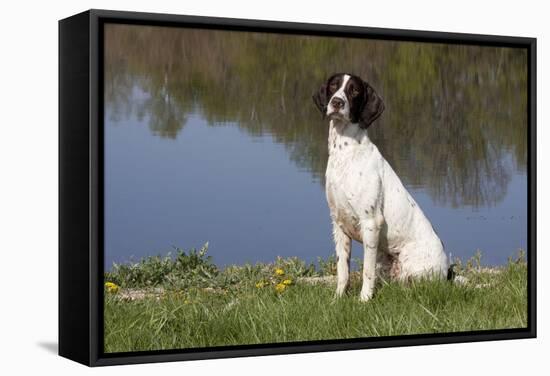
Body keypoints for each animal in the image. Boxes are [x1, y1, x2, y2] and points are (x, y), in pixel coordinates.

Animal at [312, 74, 450, 302]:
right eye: (333, 86)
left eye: (355, 91)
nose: (337, 102)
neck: (345, 154)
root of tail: (447, 271)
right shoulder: (338, 224)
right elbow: (343, 270)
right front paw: (338, 299)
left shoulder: (370, 223)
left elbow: (366, 272)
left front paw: (364, 300)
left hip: (413, 270)